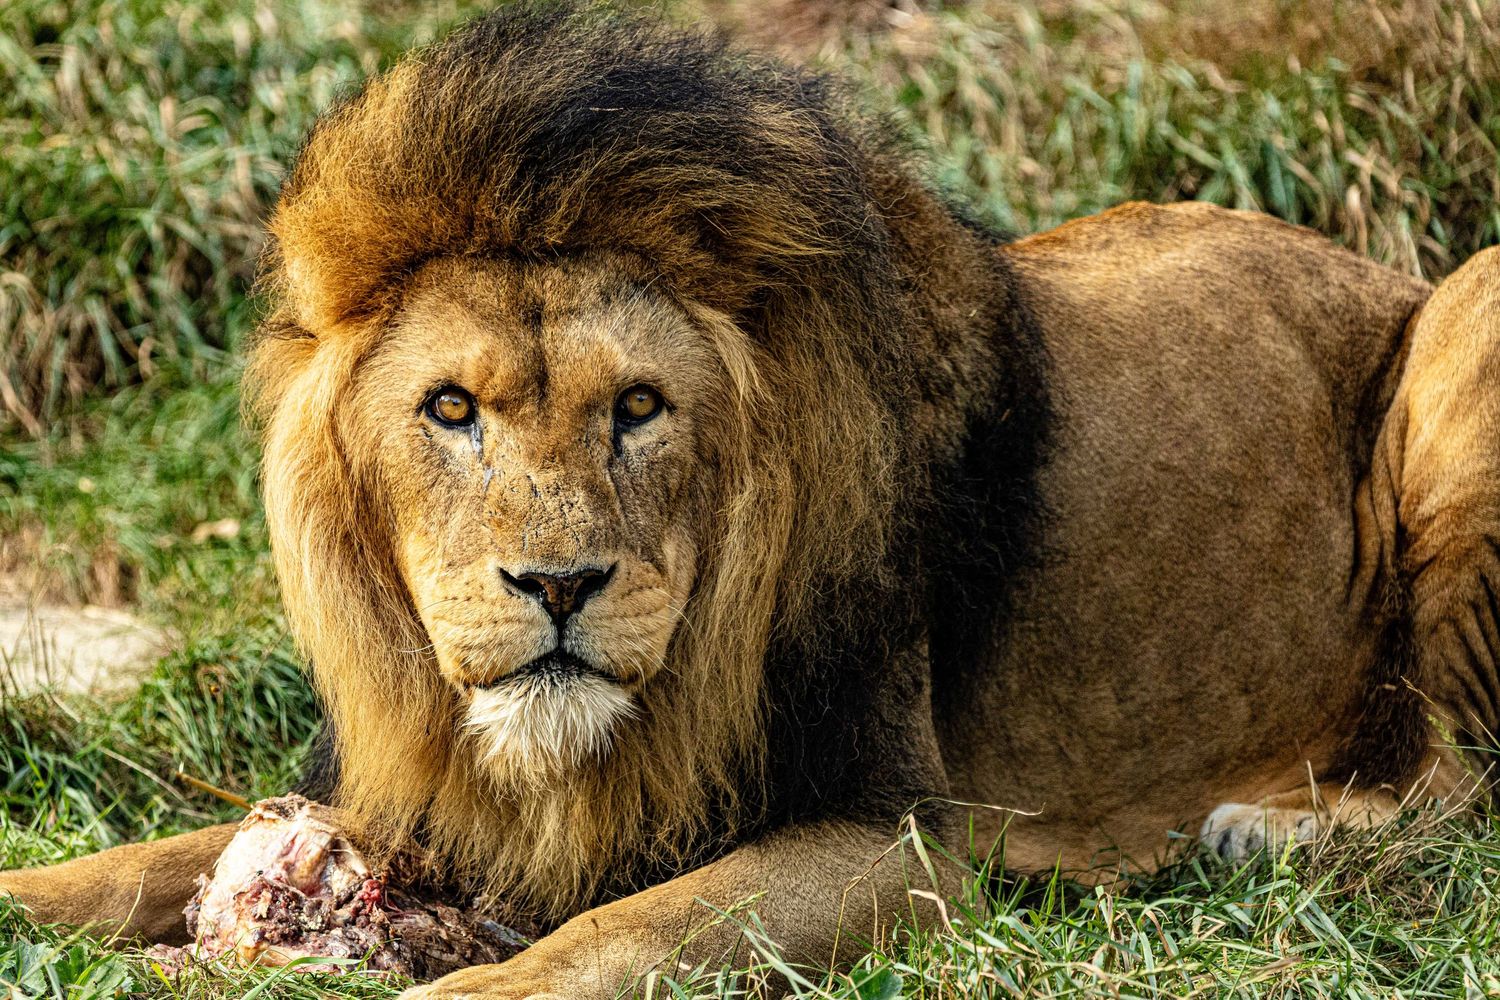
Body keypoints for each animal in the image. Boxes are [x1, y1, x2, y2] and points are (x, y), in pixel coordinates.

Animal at [4, 3, 1500, 997]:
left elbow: (620, 932)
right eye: (451, 410)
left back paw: (1273, 831)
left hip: (1465, 330)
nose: (559, 587)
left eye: (639, 407)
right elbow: (136, 863)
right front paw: (29, 899)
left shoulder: (900, 836)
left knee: (1465, 785)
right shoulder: (413, 789)